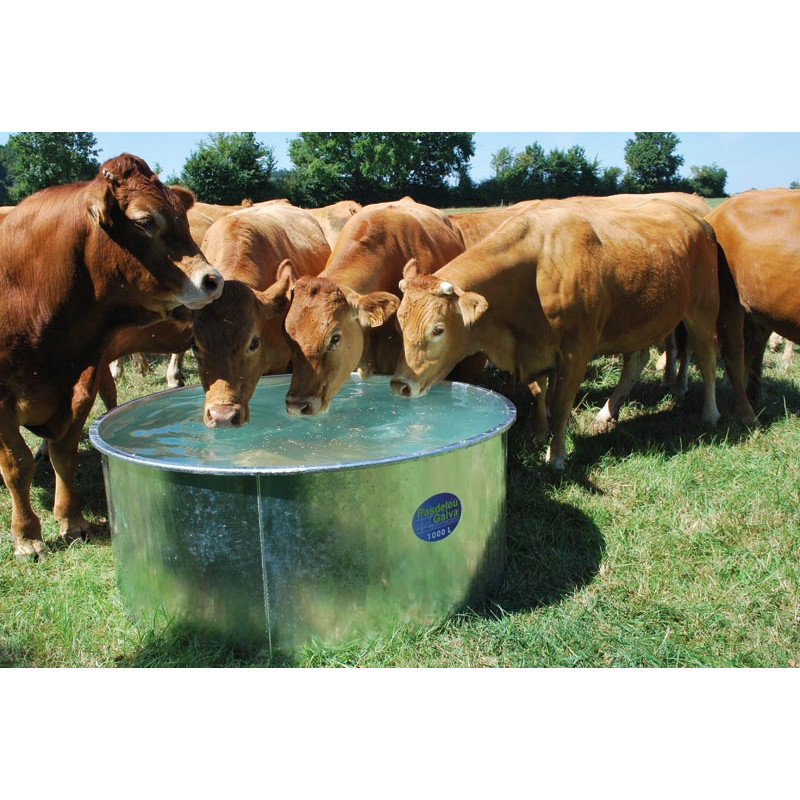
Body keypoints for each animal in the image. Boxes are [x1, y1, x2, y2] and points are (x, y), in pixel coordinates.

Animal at [0, 154, 223, 560]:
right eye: (144, 221)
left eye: (183, 218)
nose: (213, 280)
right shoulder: (2, 401)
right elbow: (16, 465)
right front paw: (27, 537)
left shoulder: (83, 380)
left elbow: (65, 452)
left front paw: (72, 520)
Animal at [390, 199, 721, 469]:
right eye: (399, 323)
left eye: (438, 329)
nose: (399, 385)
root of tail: (699, 221)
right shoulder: (533, 349)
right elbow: (539, 390)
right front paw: (538, 430)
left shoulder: (576, 353)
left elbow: (562, 405)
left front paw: (557, 454)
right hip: (639, 322)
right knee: (635, 364)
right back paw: (606, 413)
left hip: (702, 310)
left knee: (706, 360)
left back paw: (710, 412)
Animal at [708, 188, 800, 420]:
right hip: (728, 299)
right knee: (734, 352)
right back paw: (747, 414)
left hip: (762, 305)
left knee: (756, 348)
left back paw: (755, 397)